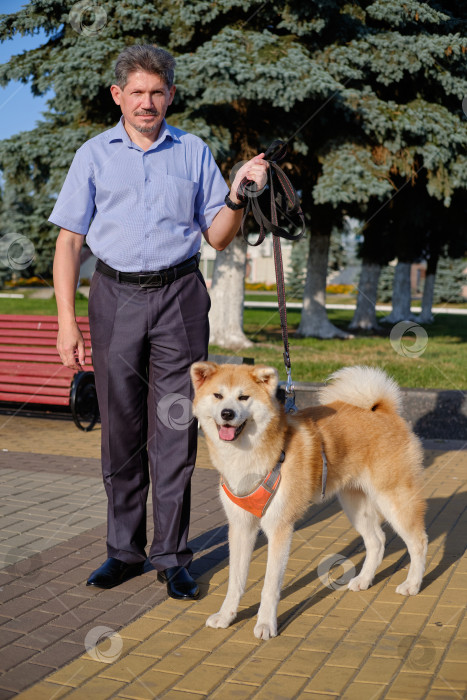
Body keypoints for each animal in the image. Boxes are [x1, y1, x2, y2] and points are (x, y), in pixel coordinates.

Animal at [189, 364, 428, 644]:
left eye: (243, 397)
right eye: (217, 396)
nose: (227, 413)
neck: (247, 458)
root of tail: (381, 410)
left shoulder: (279, 528)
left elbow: (269, 586)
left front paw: (265, 624)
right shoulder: (240, 527)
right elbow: (234, 581)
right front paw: (226, 616)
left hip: (394, 499)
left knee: (418, 542)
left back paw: (412, 584)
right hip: (355, 505)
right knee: (377, 541)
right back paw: (363, 580)